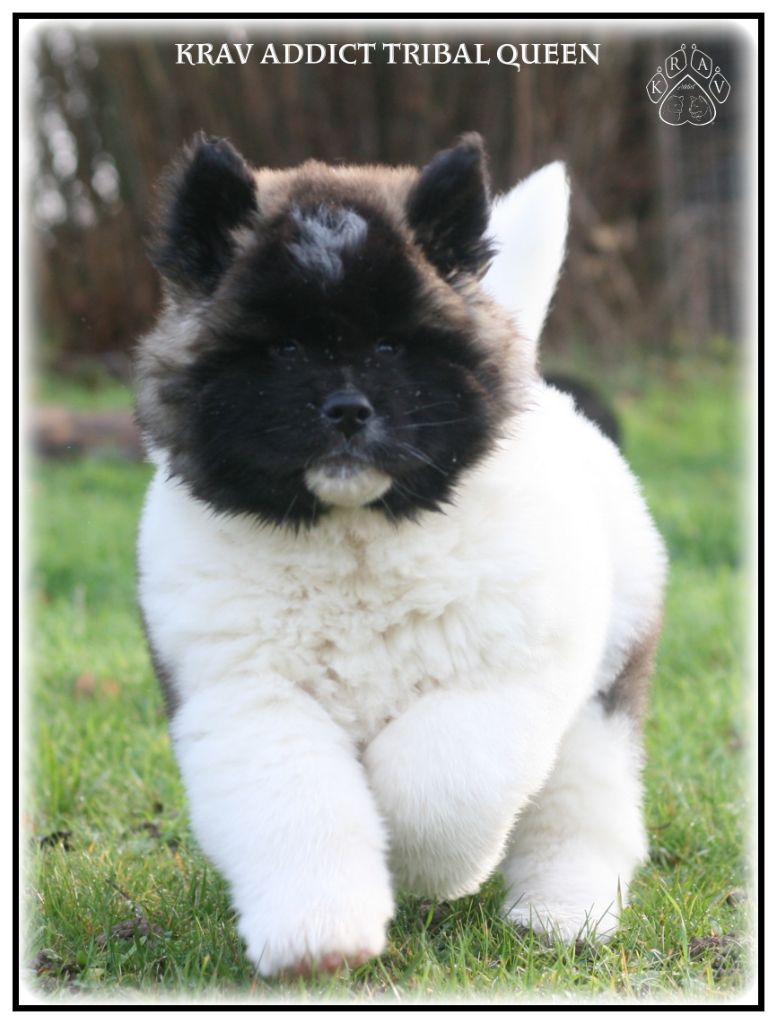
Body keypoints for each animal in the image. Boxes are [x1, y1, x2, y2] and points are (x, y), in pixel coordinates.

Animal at [135, 133, 666, 977]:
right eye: (284, 347)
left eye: (390, 345)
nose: (348, 412)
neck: (354, 539)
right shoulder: (250, 697)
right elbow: (300, 809)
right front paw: (318, 939)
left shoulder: (499, 681)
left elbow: (435, 783)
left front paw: (432, 872)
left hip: (599, 697)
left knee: (582, 813)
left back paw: (562, 917)